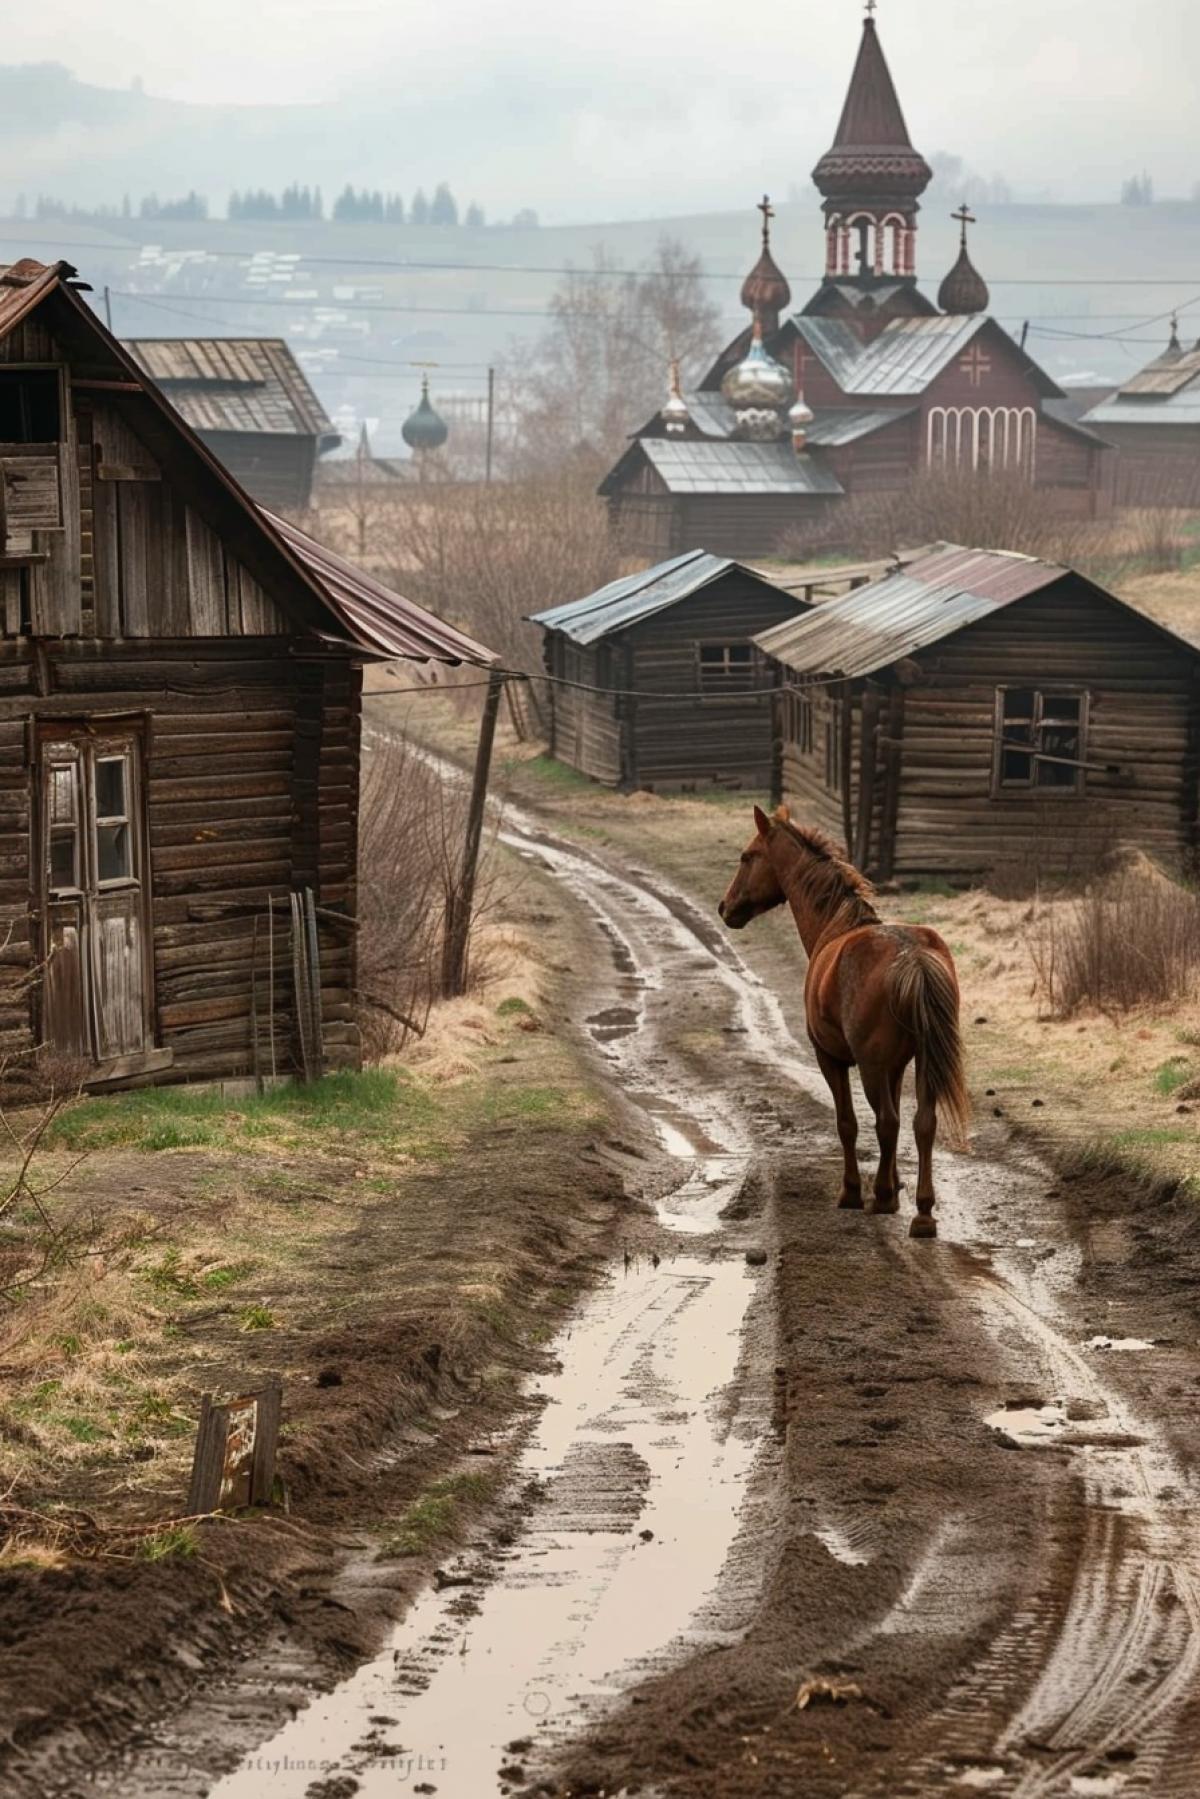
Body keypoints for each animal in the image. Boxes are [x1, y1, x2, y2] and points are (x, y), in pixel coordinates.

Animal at [718, 805, 968, 1240]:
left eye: (747, 857)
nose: (725, 907)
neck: (836, 924)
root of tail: (913, 957)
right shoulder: (895, 1068)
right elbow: (899, 1120)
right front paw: (897, 1187)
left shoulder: (831, 1059)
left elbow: (847, 1123)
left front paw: (853, 1192)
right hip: (921, 1062)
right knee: (923, 1123)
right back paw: (922, 1212)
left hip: (869, 1066)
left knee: (886, 1123)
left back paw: (880, 1198)